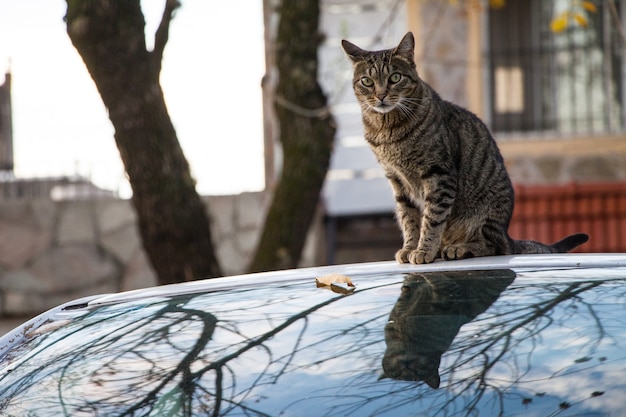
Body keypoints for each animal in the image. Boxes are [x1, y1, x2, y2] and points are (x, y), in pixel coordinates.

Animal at [338, 31, 588, 264]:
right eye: (367, 81)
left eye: (395, 77)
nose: (380, 96)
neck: (386, 129)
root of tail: (507, 235)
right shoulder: (397, 181)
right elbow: (408, 219)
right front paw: (410, 247)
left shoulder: (438, 174)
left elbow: (432, 219)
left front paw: (424, 250)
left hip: (488, 214)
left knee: (492, 246)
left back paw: (459, 248)